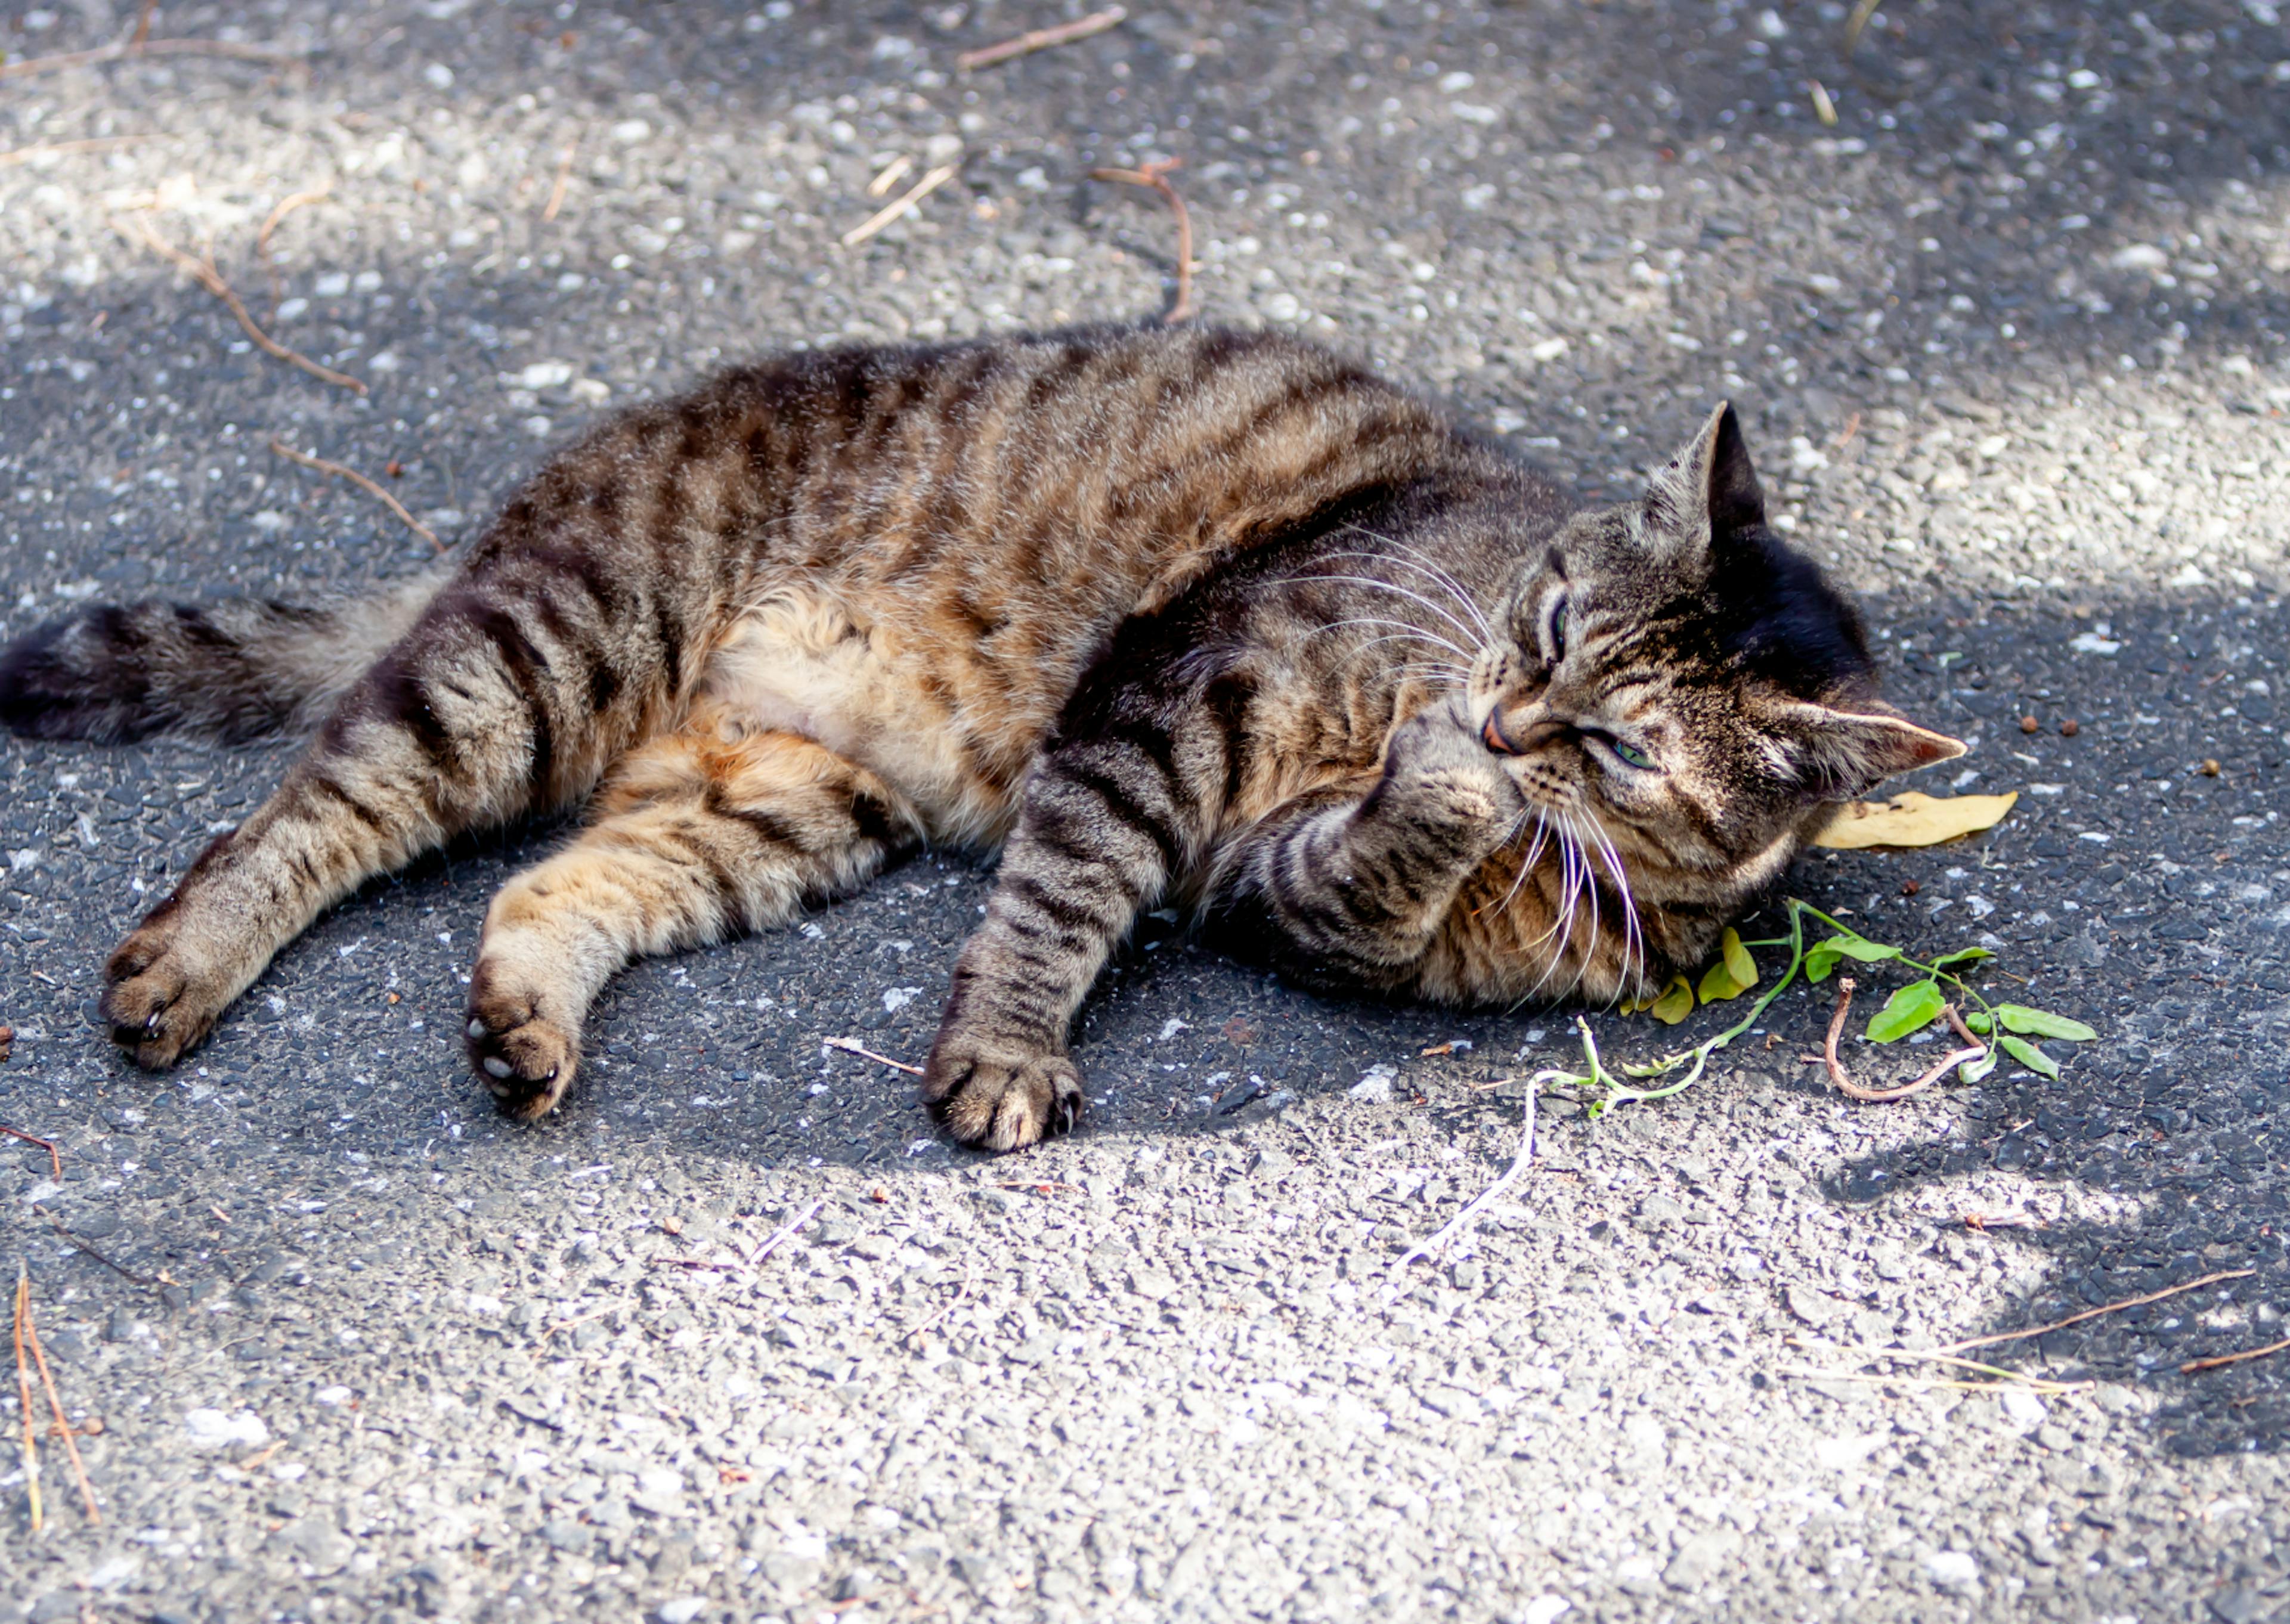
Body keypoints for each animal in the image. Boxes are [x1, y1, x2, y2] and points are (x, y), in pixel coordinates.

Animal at [0, 323, 1969, 1145]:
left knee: (548, 894)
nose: (1502, 711)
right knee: (305, 811)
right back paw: (185, 961)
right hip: (542, 659)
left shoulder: (1293, 891)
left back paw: (523, 1028)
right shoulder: (1165, 710)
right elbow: (1063, 901)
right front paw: (1010, 1051)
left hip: (777, 809)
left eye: (1627, 748)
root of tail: (520, 502)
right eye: (1554, 622)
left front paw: (1457, 790)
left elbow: (1369, 861)